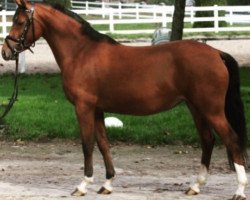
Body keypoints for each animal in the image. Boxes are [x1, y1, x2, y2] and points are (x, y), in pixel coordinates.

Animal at [1, 0, 248, 199]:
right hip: (196, 108)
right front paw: (107, 184)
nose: (6, 51)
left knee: (232, 140)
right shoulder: (97, 109)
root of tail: (216, 53)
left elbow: (87, 144)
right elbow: (103, 144)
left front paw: (83, 185)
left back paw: (239, 190)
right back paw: (195, 186)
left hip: (211, 110)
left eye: (21, 21)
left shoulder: (83, 108)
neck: (81, 52)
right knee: (208, 140)